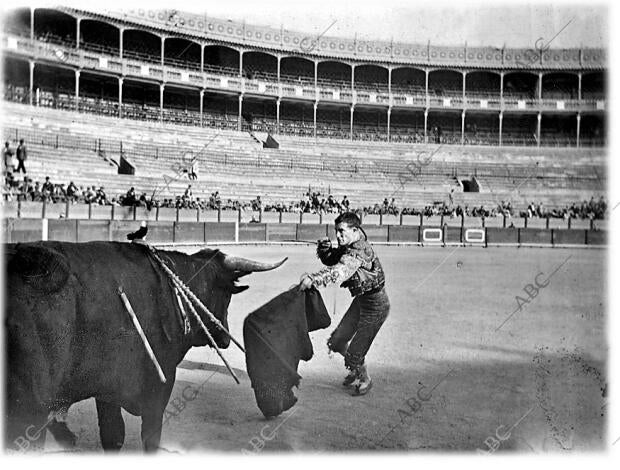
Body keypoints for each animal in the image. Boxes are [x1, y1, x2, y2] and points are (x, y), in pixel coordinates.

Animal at [4, 242, 286, 452]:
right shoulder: (159, 387)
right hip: (28, 409)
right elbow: (149, 437)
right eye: (226, 295)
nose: (225, 337)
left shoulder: (107, 391)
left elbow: (113, 434)